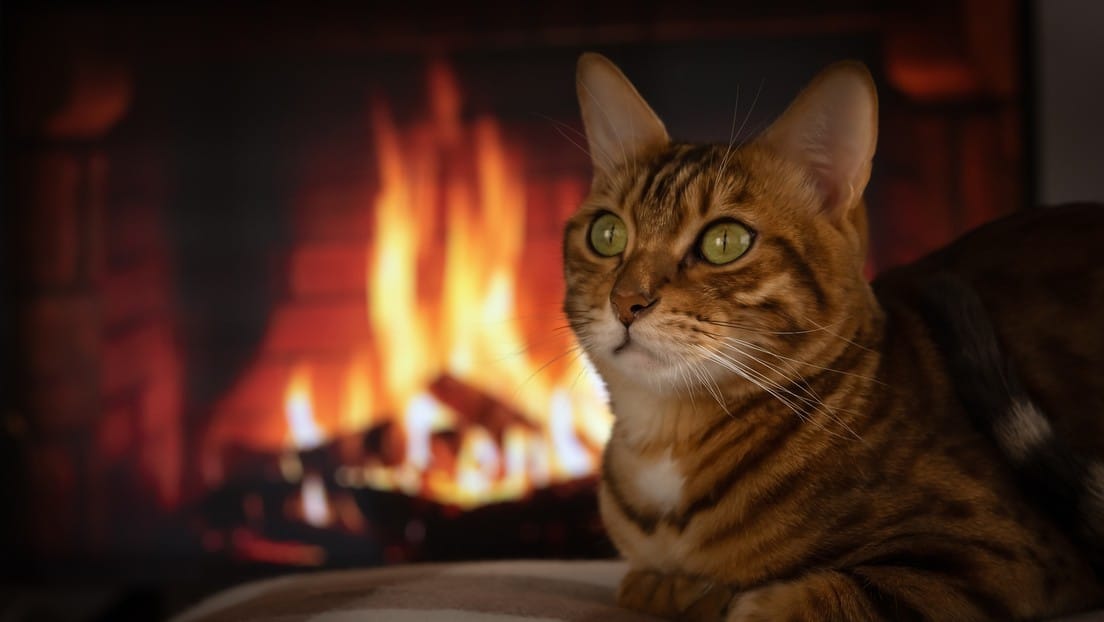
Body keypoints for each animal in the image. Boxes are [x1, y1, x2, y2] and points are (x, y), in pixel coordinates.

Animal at [565, 53, 1104, 622]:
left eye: (724, 241)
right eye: (607, 234)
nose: (626, 301)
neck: (666, 441)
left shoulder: (1001, 555)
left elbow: (825, 596)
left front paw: (734, 598)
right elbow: (647, 583)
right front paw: (682, 589)